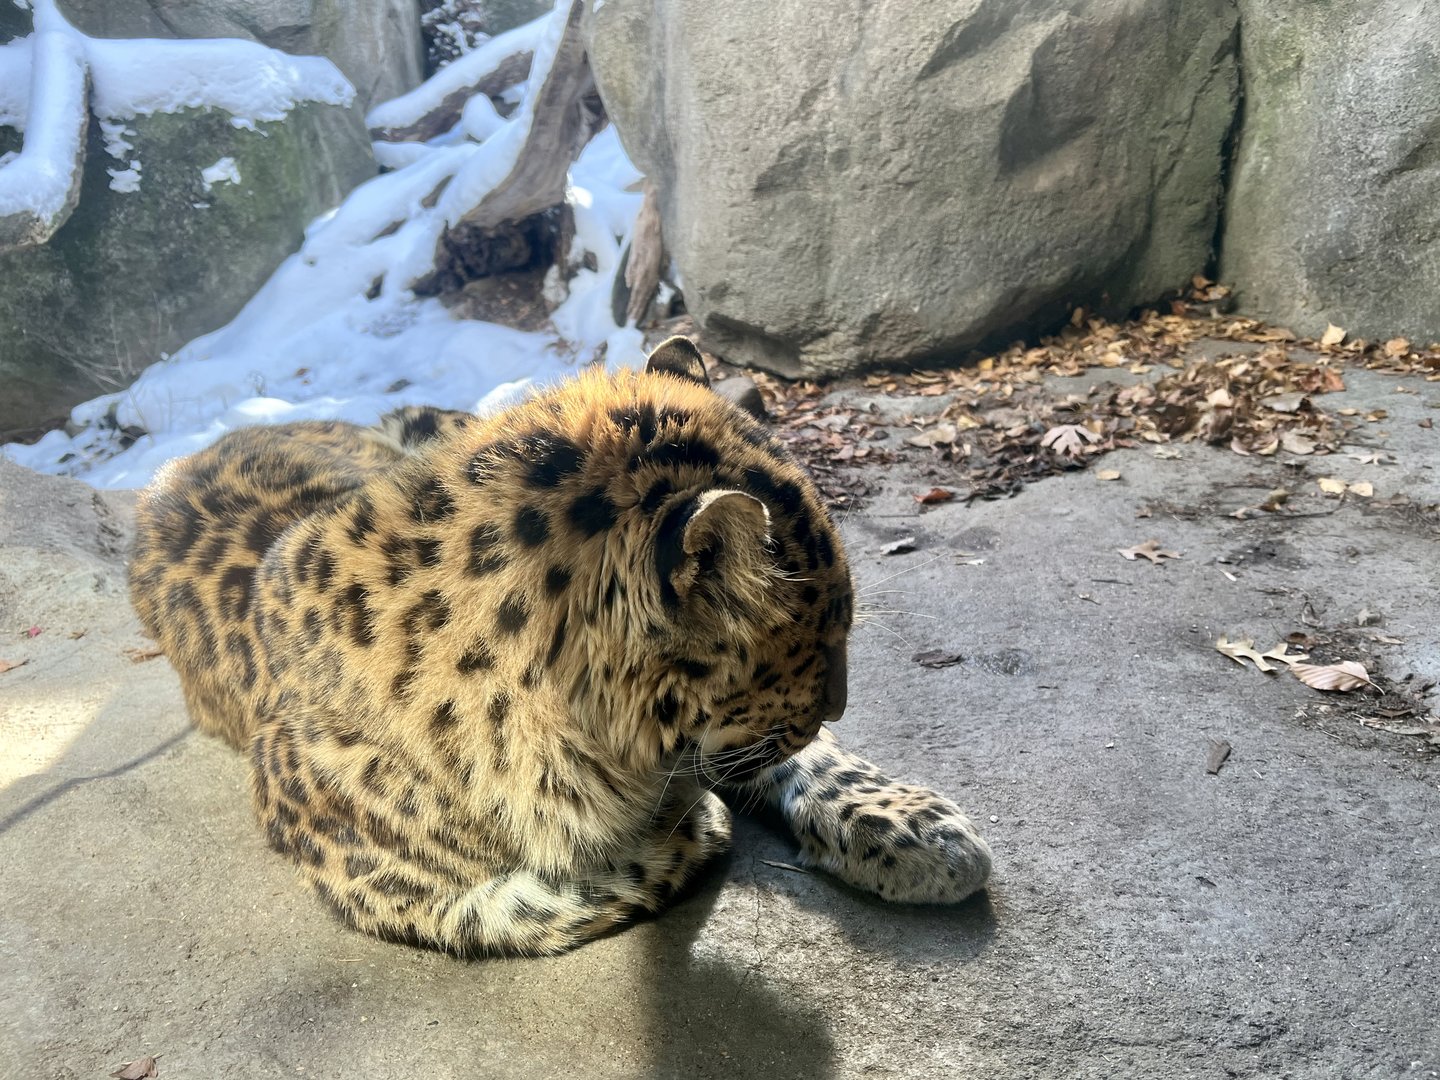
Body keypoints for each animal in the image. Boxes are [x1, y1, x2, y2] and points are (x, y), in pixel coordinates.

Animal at [129, 336, 992, 956]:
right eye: (828, 635)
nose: (838, 704)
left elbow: (792, 757)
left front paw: (913, 827)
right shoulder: (349, 865)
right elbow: (518, 907)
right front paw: (690, 826)